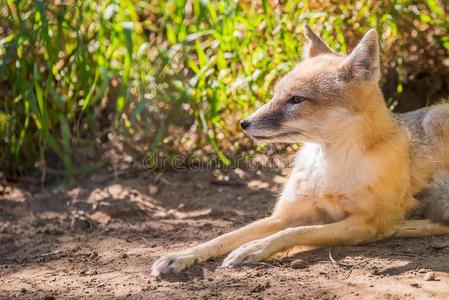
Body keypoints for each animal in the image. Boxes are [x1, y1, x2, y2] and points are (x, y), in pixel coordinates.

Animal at [150, 25, 448, 276]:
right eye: (275, 95)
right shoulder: (283, 216)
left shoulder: (365, 223)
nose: (244, 123)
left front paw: (253, 249)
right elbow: (224, 236)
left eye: (296, 99)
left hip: (436, 119)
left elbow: (297, 232)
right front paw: (182, 255)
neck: (330, 167)